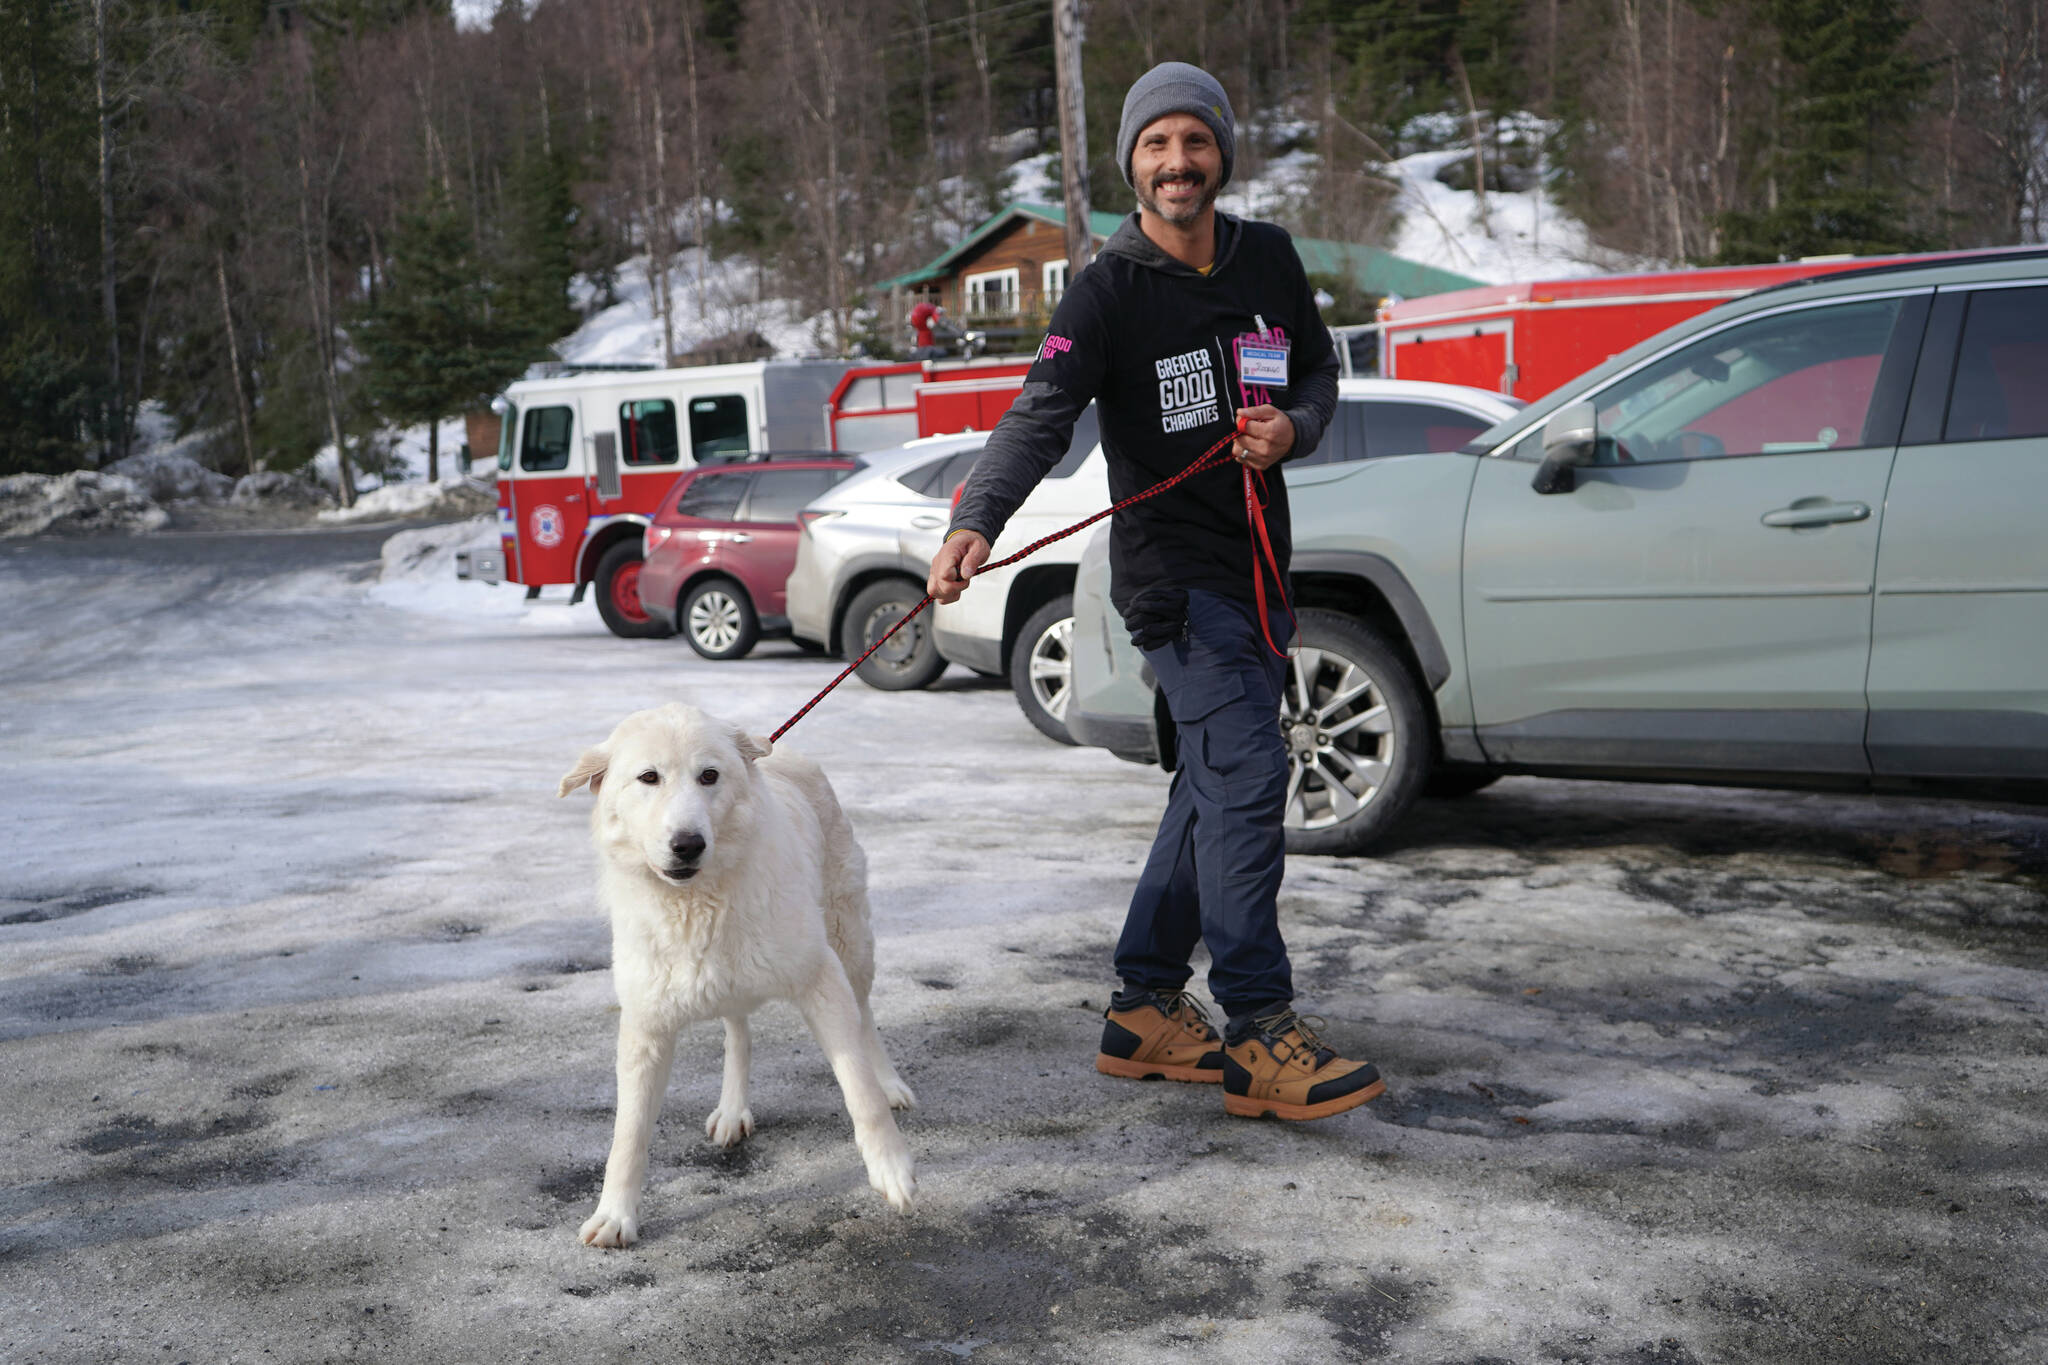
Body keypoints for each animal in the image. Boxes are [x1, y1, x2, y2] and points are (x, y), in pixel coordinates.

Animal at [557, 703, 917, 1252]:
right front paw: (615, 1215)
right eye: (648, 777)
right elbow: (628, 1135)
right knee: (738, 1033)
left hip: (850, 942)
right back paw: (732, 1110)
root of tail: (780, 749)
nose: (687, 844)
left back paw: (891, 1081)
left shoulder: (822, 979)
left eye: (710, 776)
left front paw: (891, 1169)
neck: (696, 902)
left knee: (865, 1017)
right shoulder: (645, 1028)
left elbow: (860, 1091)